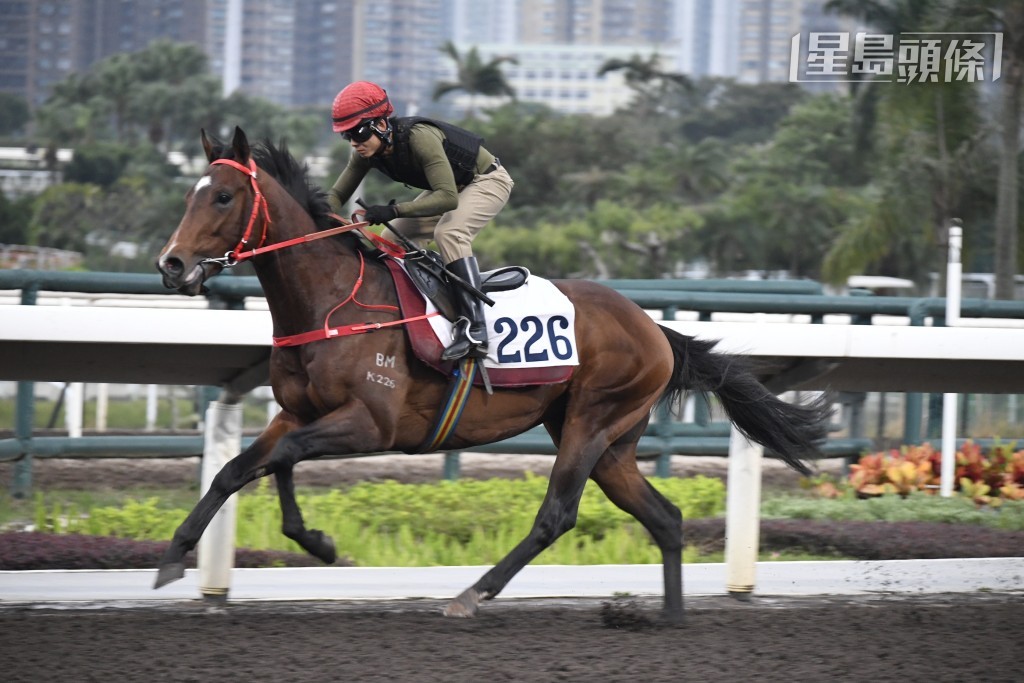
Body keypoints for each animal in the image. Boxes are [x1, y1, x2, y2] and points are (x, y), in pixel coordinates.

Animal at [157, 125, 831, 622]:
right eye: (189, 195)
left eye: (223, 196)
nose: (172, 265)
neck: (331, 301)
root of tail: (653, 329)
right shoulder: (300, 411)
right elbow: (245, 467)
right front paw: (181, 553)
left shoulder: (370, 424)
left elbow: (279, 458)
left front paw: (316, 545)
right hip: (611, 443)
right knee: (664, 516)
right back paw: (669, 616)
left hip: (592, 422)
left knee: (556, 516)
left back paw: (471, 595)